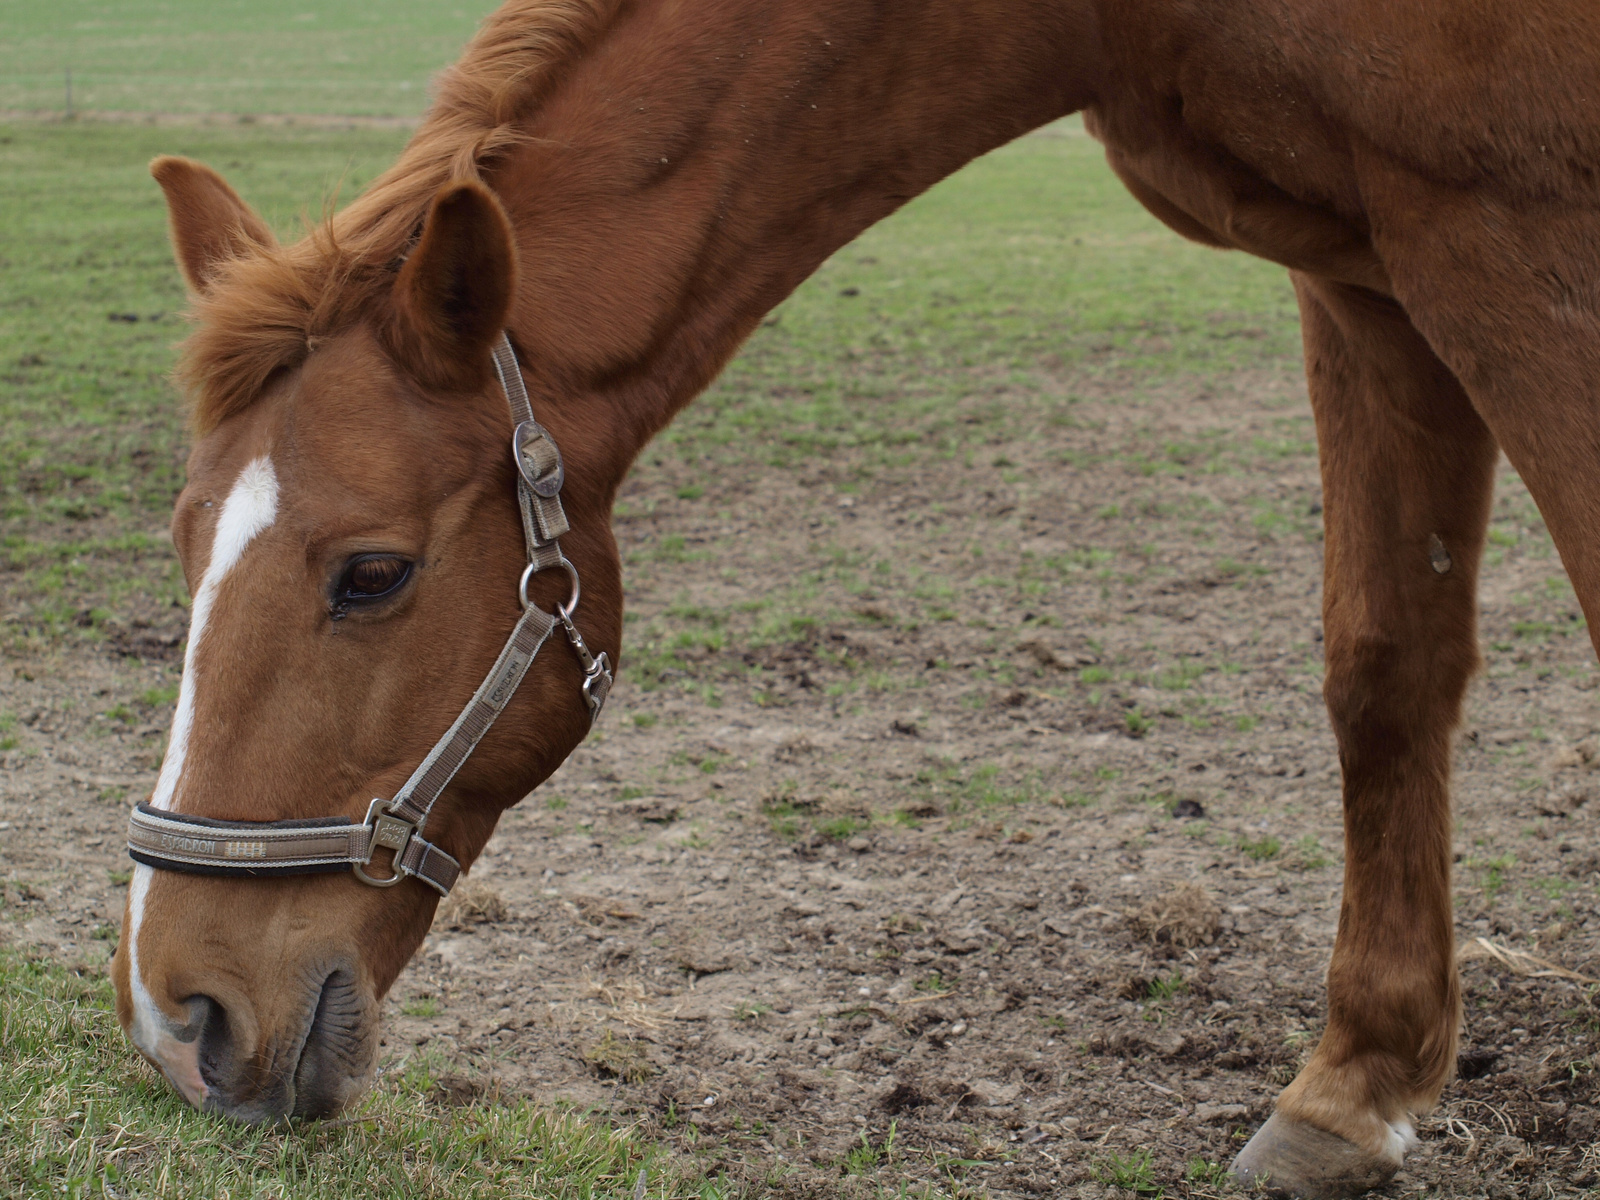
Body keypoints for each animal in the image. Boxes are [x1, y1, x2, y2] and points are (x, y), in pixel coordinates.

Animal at [112, 0, 1600, 1196]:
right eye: (182, 542)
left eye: (373, 573)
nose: (178, 1016)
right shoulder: (1360, 278)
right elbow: (1385, 673)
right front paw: (1355, 1088)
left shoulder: (1504, 240)